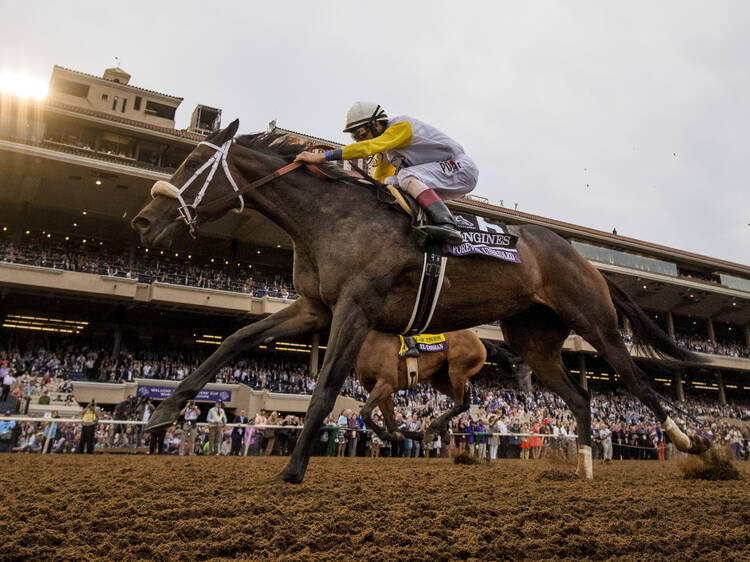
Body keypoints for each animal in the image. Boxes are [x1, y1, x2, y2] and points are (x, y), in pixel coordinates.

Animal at [356, 328, 532, 442]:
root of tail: (480, 341)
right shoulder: (378, 387)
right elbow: (391, 423)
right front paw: (399, 434)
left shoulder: (386, 383)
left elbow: (365, 412)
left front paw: (389, 435)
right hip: (440, 379)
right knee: (463, 402)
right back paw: (440, 430)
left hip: (457, 369)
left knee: (461, 403)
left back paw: (432, 429)